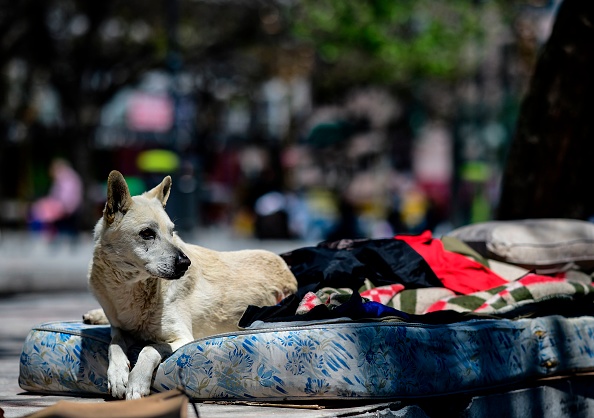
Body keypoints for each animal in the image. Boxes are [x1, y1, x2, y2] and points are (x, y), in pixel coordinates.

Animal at [83, 170, 296, 398]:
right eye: (147, 233)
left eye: (172, 232)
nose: (185, 263)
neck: (131, 287)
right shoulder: (119, 328)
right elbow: (113, 343)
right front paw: (117, 375)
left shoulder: (183, 337)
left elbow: (149, 349)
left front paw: (136, 383)